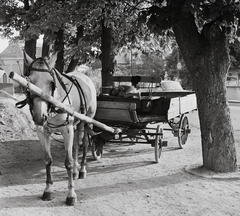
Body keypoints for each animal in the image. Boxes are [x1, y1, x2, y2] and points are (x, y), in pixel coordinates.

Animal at [22, 52, 97, 206]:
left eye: (51, 82)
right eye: (30, 81)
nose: (40, 116)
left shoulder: (66, 130)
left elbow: (67, 162)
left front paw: (71, 195)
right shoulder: (42, 132)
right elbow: (48, 160)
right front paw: (48, 190)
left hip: (87, 121)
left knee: (85, 144)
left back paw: (81, 170)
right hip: (76, 124)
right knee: (76, 145)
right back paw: (75, 171)